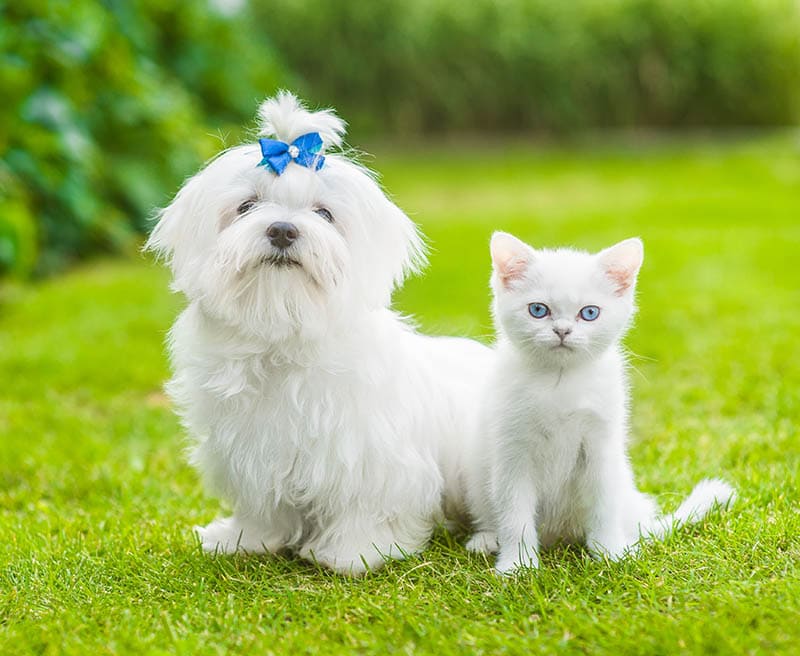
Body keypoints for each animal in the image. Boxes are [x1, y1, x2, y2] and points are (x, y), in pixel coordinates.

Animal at [145, 92, 494, 576]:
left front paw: (354, 553)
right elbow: (261, 505)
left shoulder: (370, 456)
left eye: (324, 214)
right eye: (247, 206)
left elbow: (365, 507)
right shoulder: (250, 450)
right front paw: (243, 539)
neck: (283, 335)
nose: (282, 230)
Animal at [466, 233, 736, 572]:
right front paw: (518, 564)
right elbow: (515, 512)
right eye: (538, 310)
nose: (562, 330)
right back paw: (486, 539)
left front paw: (610, 553)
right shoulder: (511, 448)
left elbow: (603, 503)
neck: (561, 380)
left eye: (590, 313)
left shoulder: (600, 445)